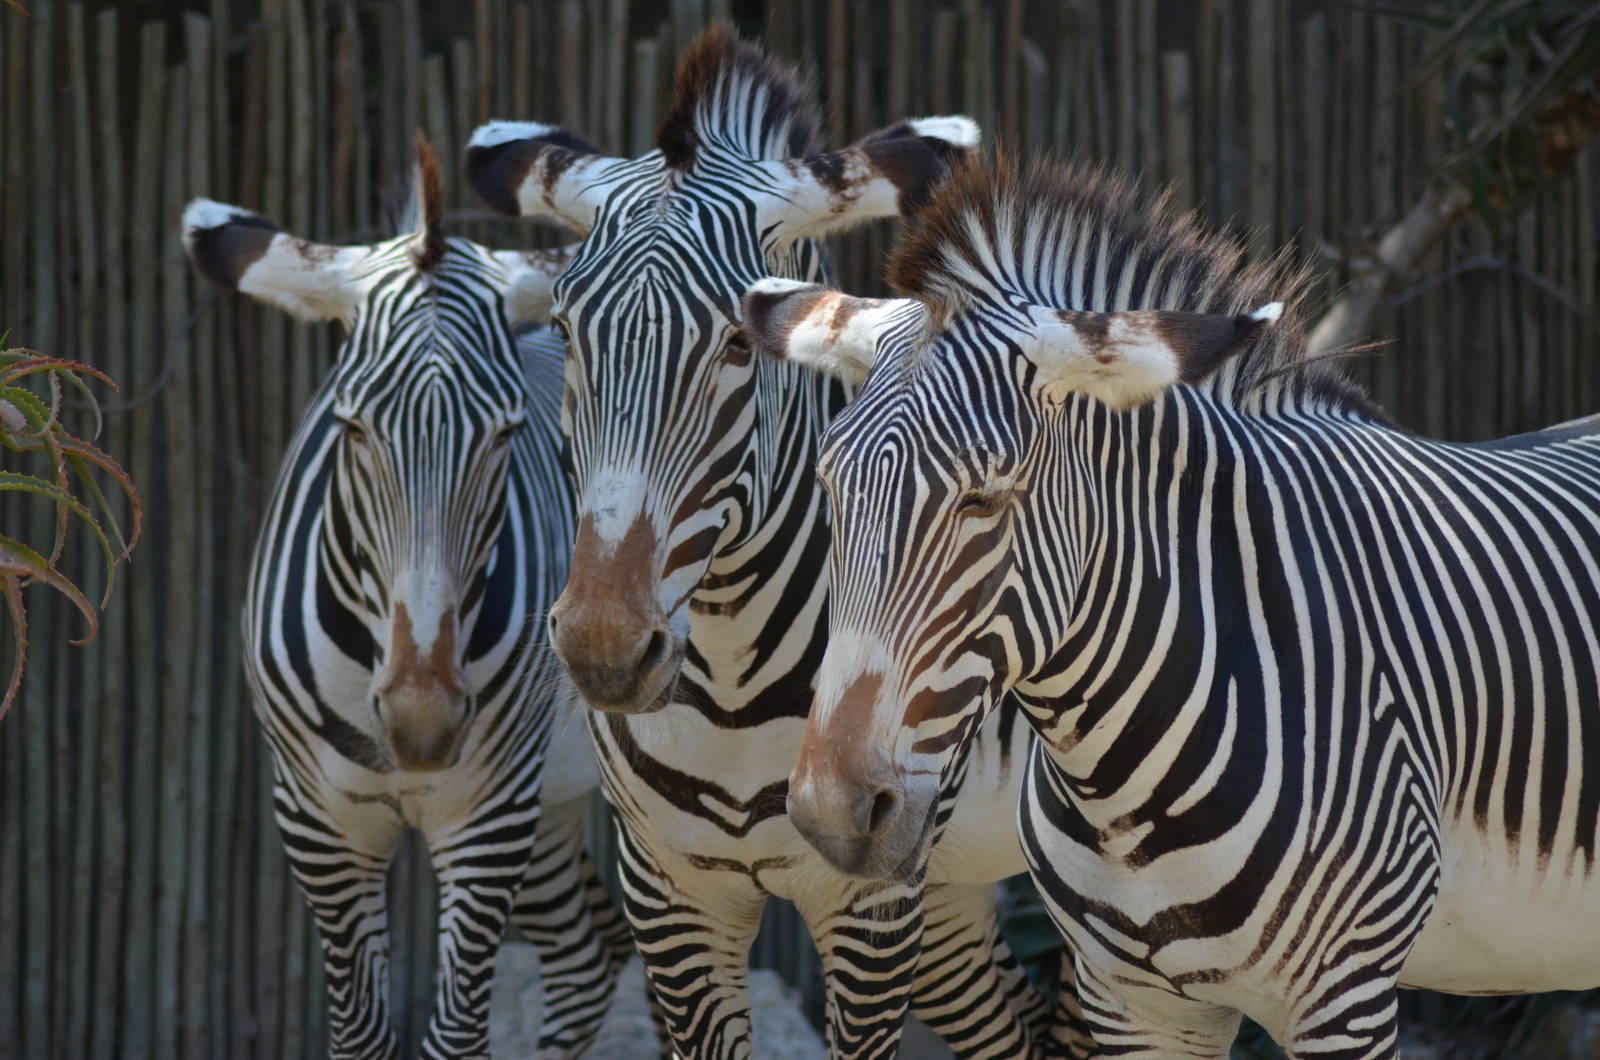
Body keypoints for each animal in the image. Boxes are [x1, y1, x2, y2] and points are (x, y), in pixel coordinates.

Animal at [181, 139, 633, 1059]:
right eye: (351, 428)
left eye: (506, 432)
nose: (423, 723)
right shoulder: (319, 824)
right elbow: (361, 1036)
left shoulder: (489, 819)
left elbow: (453, 1038)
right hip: (554, 802)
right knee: (589, 955)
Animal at [463, 27, 1066, 1060]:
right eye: (571, 335)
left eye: (739, 347)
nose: (603, 650)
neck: (733, 693)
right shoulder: (669, 892)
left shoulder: (868, 911)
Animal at [744, 153, 1600, 1059]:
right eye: (831, 486)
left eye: (985, 500)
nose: (829, 814)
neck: (1122, 793)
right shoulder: (1130, 1004)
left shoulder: (1346, 997)